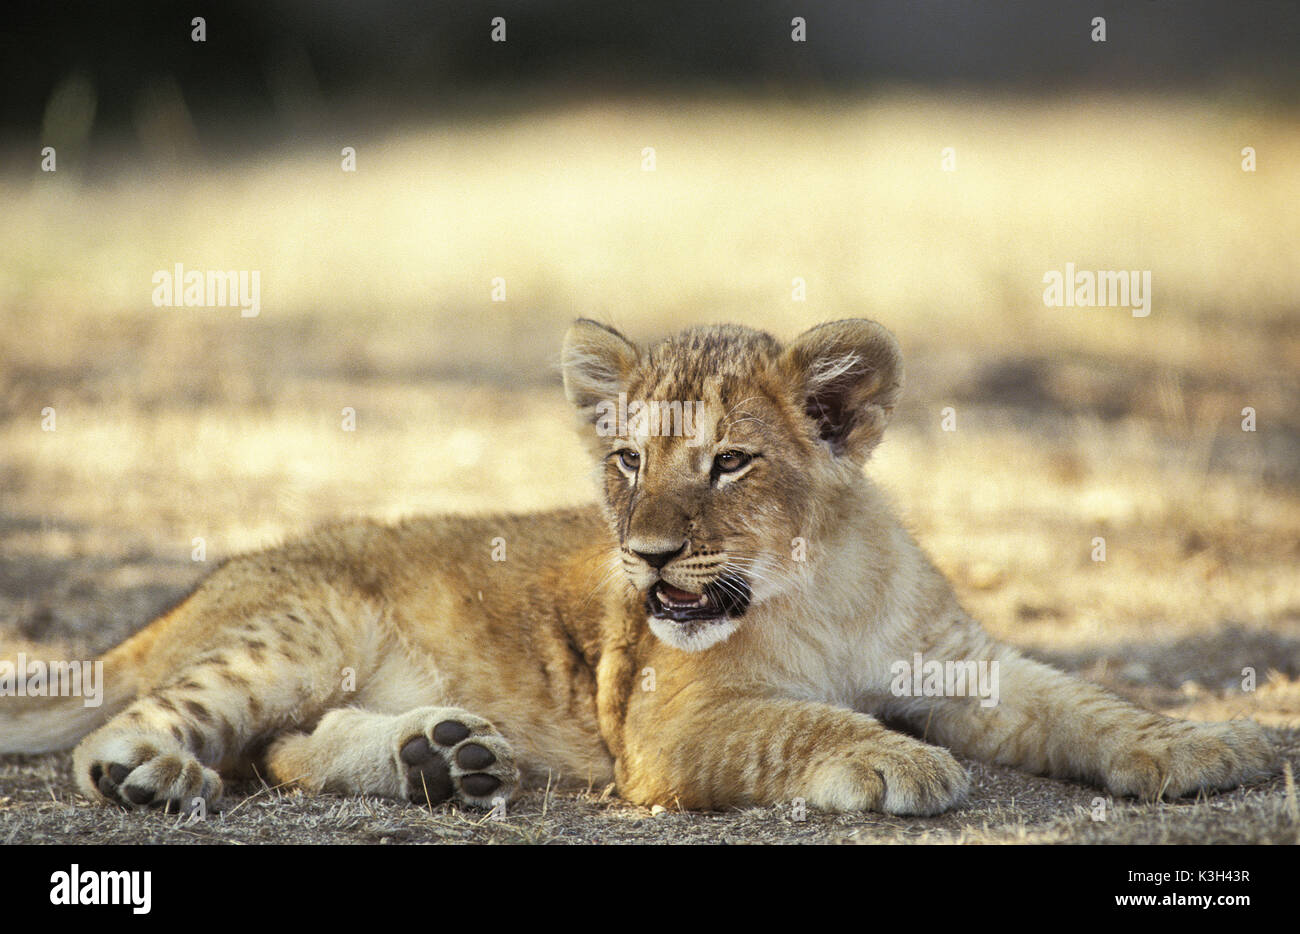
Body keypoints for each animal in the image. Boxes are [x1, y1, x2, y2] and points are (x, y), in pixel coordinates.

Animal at [0, 319, 1275, 815]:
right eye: (624, 459)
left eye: (727, 462)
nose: (649, 553)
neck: (820, 582)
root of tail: (211, 581)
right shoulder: (669, 725)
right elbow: (802, 721)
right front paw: (891, 759)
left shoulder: (969, 662)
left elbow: (1089, 702)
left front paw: (1208, 745)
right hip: (300, 632)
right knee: (141, 730)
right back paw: (154, 778)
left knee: (281, 751)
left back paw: (439, 757)